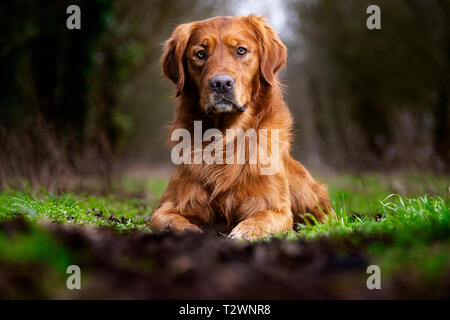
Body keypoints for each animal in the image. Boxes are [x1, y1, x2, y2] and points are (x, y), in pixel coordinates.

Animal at [149, 15, 332, 240]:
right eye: (200, 54)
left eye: (241, 50)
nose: (221, 83)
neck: (225, 137)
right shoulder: (167, 206)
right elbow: (166, 220)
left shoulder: (277, 209)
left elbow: (263, 217)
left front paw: (245, 231)